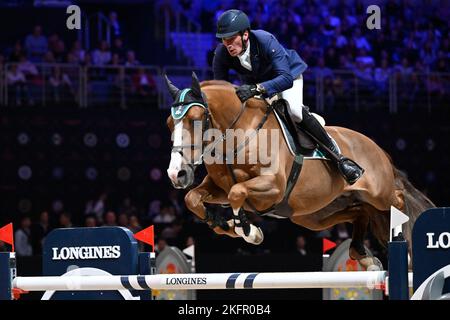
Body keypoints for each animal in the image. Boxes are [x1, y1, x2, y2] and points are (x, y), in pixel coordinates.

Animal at [164, 73, 432, 270]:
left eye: (196, 119)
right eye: (169, 124)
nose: (176, 174)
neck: (236, 135)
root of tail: (377, 147)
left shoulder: (272, 186)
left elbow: (237, 192)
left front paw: (249, 231)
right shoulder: (219, 187)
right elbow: (193, 198)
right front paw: (223, 224)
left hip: (378, 192)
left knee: (399, 199)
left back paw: (405, 249)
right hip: (315, 214)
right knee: (360, 211)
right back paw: (363, 255)